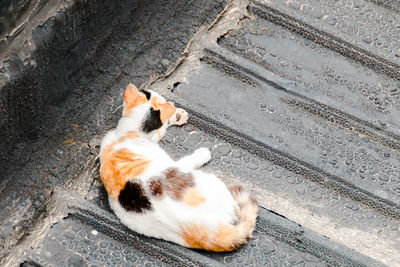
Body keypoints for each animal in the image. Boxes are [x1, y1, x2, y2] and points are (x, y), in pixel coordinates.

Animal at [98, 84, 258, 251]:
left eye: (147, 93)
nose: (161, 96)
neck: (128, 132)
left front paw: (177, 115)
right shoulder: (173, 161)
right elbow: (165, 133)